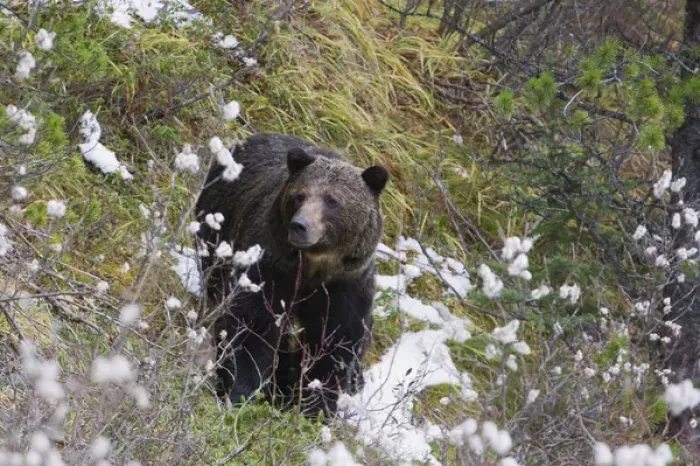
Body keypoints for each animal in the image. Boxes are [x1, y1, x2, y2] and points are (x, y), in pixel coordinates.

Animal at [193, 133, 389, 418]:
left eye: (332, 201)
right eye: (300, 195)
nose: (300, 226)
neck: (312, 267)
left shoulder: (346, 284)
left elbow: (337, 340)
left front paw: (315, 405)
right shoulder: (270, 265)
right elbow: (251, 324)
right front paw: (241, 392)